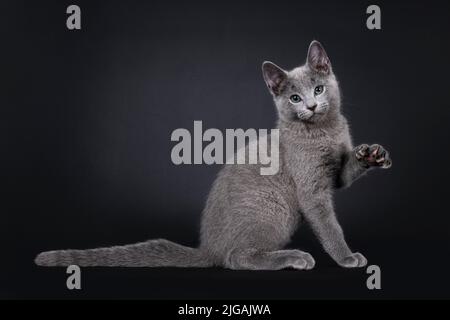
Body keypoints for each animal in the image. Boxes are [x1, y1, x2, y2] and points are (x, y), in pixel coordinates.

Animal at [35, 40, 390, 270]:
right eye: (294, 98)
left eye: (318, 89)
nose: (312, 106)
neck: (323, 130)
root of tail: (208, 248)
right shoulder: (311, 189)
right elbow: (330, 227)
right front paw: (347, 257)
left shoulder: (335, 171)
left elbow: (346, 171)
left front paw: (371, 154)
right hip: (272, 209)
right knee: (236, 259)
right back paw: (293, 258)